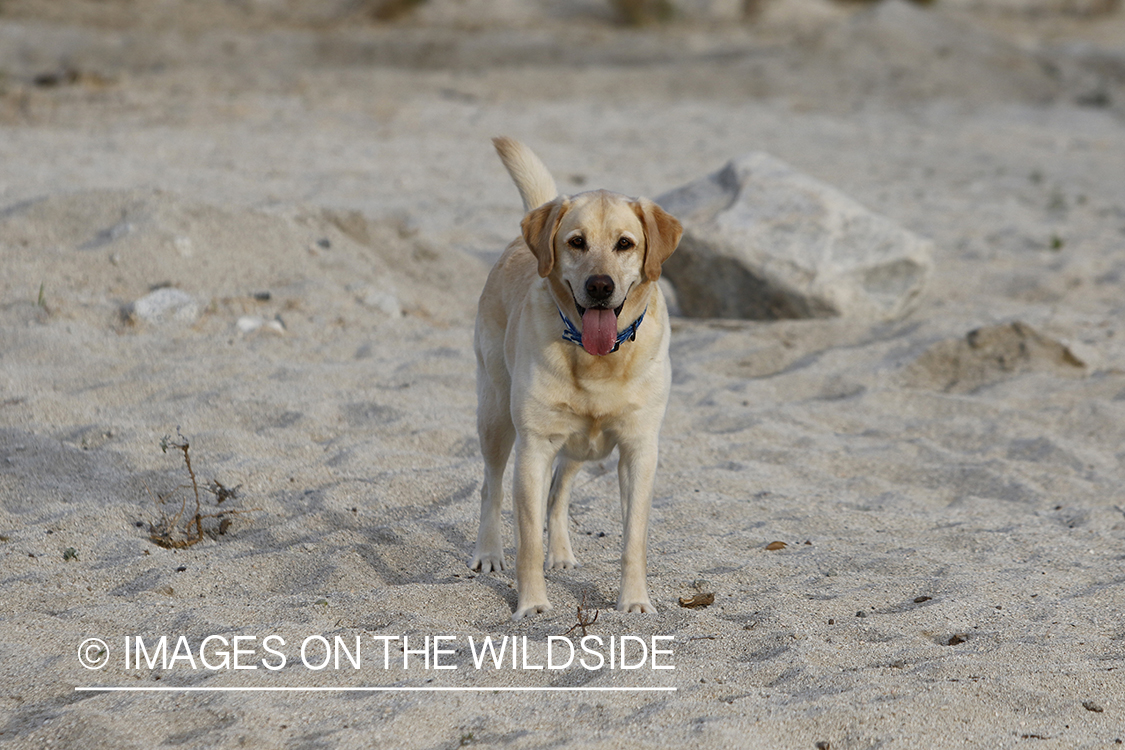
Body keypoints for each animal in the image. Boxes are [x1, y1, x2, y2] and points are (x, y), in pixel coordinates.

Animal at [468, 137, 679, 620]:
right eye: (576, 242)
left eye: (625, 244)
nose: (600, 286)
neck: (596, 361)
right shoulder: (533, 448)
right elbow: (527, 540)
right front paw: (532, 604)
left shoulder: (640, 449)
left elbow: (633, 539)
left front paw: (635, 601)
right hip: (496, 416)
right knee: (491, 486)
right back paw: (488, 553)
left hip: (580, 445)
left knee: (559, 492)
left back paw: (561, 554)